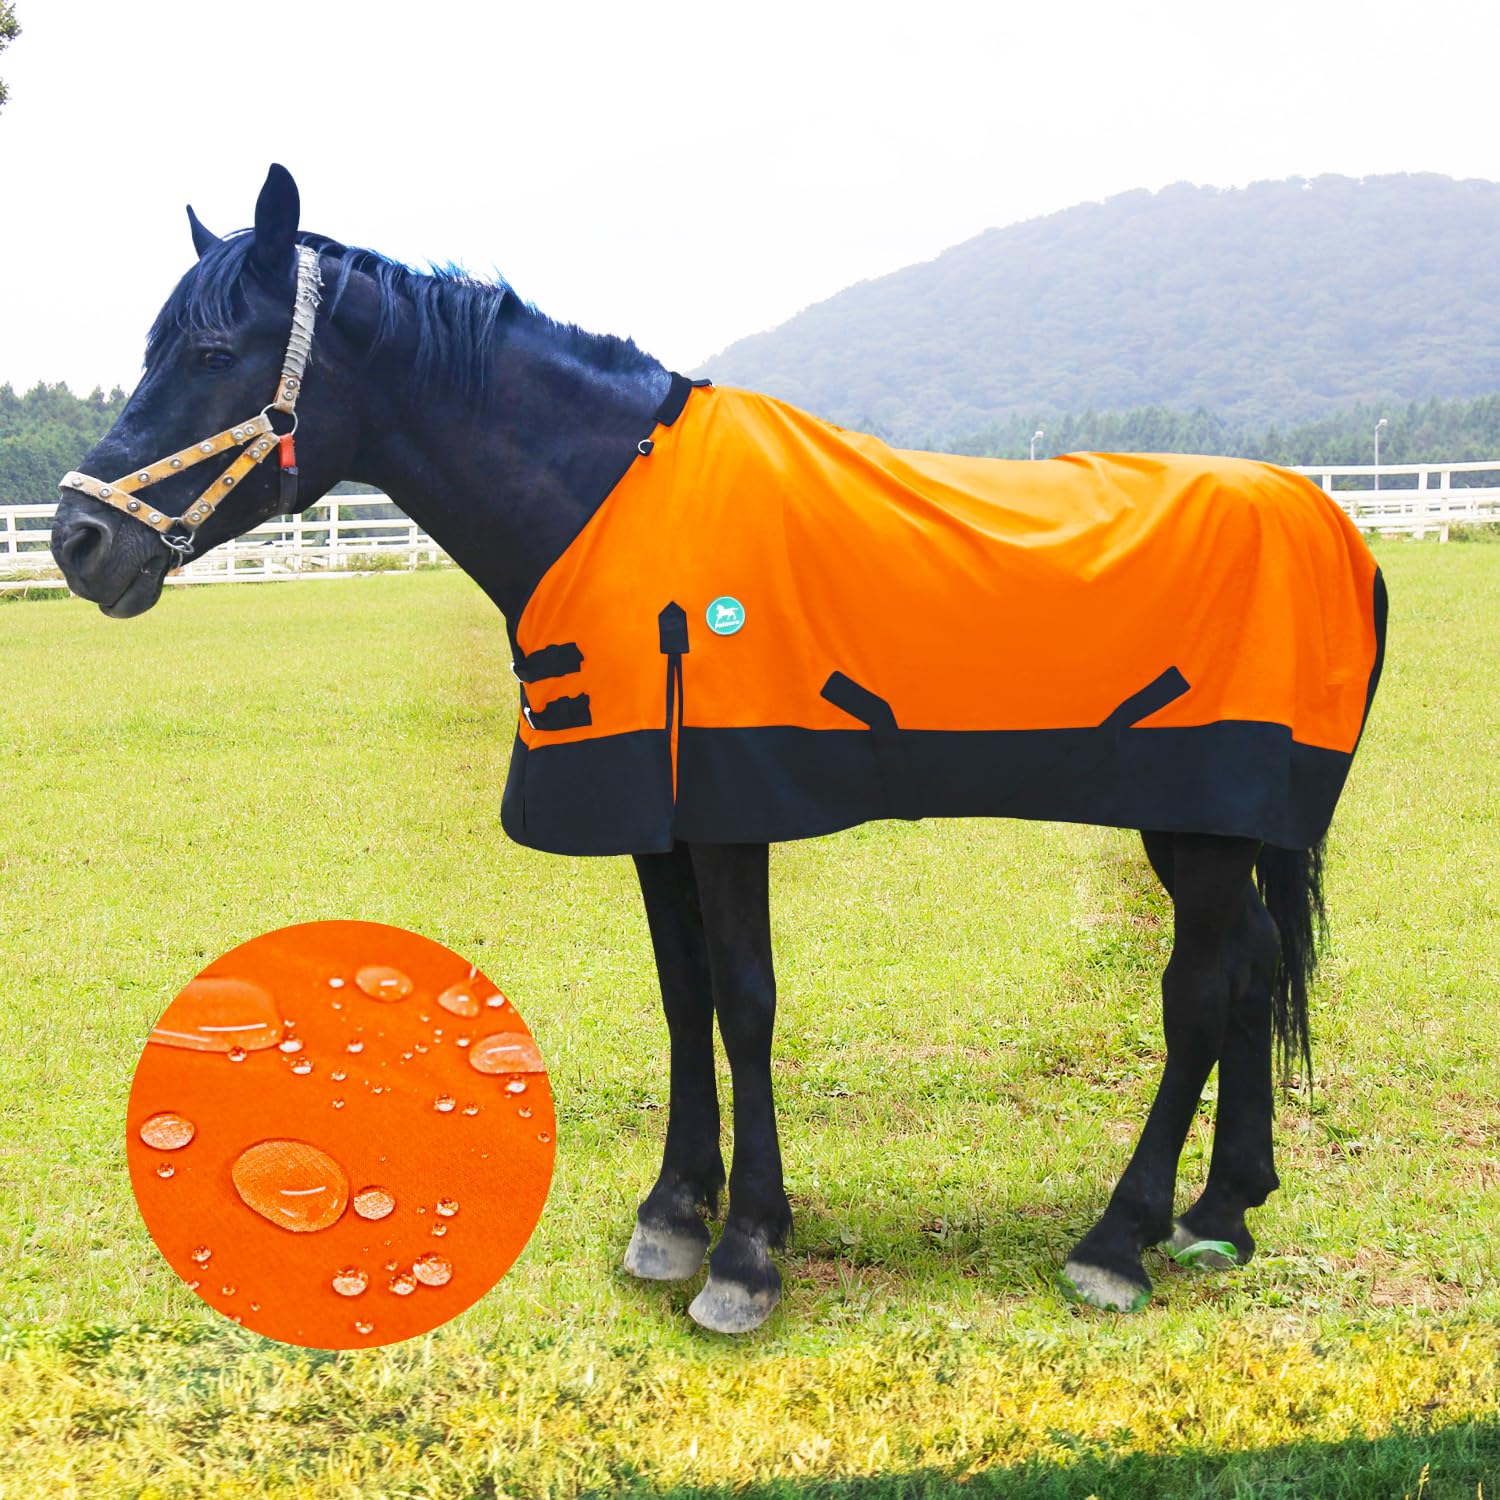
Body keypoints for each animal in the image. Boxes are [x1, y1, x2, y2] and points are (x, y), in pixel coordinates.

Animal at [51, 165, 1385, 1333]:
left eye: (211, 354)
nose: (75, 541)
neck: (611, 500)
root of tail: (1335, 526)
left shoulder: (733, 813)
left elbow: (746, 1003)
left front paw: (745, 1255)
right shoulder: (656, 811)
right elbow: (683, 994)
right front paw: (674, 1216)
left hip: (1201, 822)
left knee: (1199, 991)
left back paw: (1121, 1239)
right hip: (1207, 828)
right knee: (1256, 963)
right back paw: (1222, 1211)